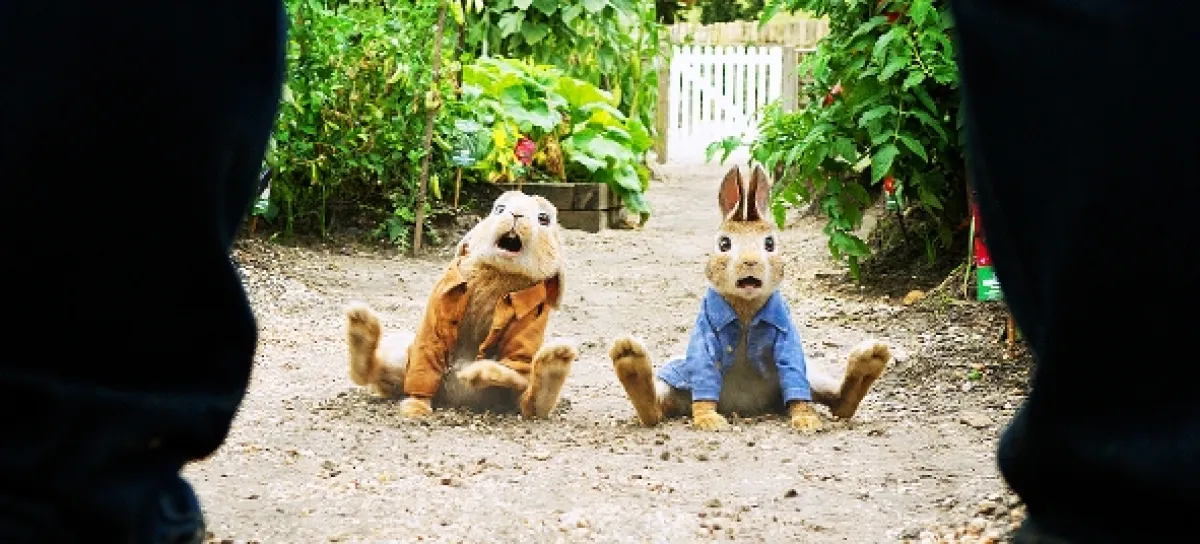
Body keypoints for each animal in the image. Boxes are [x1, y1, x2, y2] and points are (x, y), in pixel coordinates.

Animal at [345, 190, 576, 420]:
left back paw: (549, 361)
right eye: (499, 209)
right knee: (373, 372)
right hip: (404, 356)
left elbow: (516, 356)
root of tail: (452, 397)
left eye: (544, 218)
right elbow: (426, 359)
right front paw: (415, 408)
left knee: (529, 401)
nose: (516, 214)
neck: (502, 272)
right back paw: (361, 323)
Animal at [608, 165, 891, 432]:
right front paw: (709, 420)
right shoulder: (705, 332)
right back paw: (629, 358)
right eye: (724, 244)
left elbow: (793, 373)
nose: (750, 262)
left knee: (839, 403)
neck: (745, 308)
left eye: (770, 243)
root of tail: (745, 407)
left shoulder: (787, 336)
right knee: (655, 410)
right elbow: (704, 372)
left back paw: (871, 359)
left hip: (812, 376)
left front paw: (806, 420)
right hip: (674, 381)